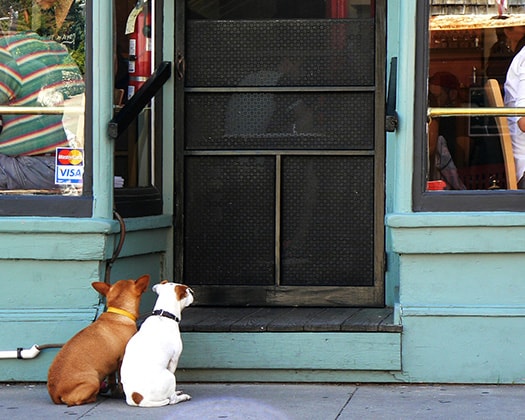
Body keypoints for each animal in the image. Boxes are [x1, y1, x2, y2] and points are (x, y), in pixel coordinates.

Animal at [47, 274, 149, 406]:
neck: (118, 313)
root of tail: (54, 394)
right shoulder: (122, 360)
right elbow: (121, 380)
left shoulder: (112, 365)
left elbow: (112, 380)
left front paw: (115, 392)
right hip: (93, 381)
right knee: (76, 401)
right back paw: (93, 397)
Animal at [119, 278, 193, 406]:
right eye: (187, 291)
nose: (192, 292)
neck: (163, 314)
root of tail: (137, 397)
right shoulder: (174, 359)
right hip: (170, 377)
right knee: (172, 400)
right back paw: (181, 397)